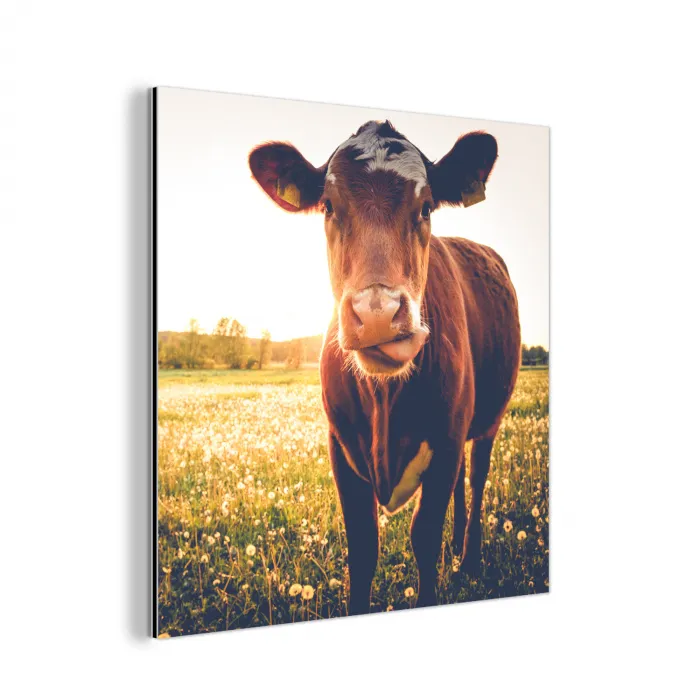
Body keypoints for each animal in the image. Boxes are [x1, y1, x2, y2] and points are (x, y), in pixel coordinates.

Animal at [249, 120, 521, 613]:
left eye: (427, 206)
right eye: (329, 206)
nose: (377, 313)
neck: (384, 402)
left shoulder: (448, 439)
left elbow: (424, 537)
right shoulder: (340, 446)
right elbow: (363, 547)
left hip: (489, 418)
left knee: (476, 478)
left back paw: (468, 556)